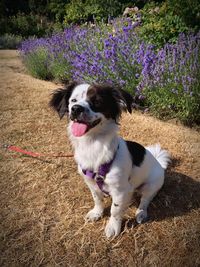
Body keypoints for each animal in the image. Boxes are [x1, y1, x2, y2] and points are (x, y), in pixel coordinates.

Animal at [49, 81, 170, 239]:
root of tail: (159, 162)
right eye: (73, 101)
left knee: (145, 200)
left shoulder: (120, 190)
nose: (76, 109)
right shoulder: (91, 183)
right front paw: (97, 213)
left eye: (97, 102)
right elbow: (97, 199)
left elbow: (115, 210)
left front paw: (113, 227)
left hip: (151, 185)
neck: (92, 144)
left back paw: (141, 213)